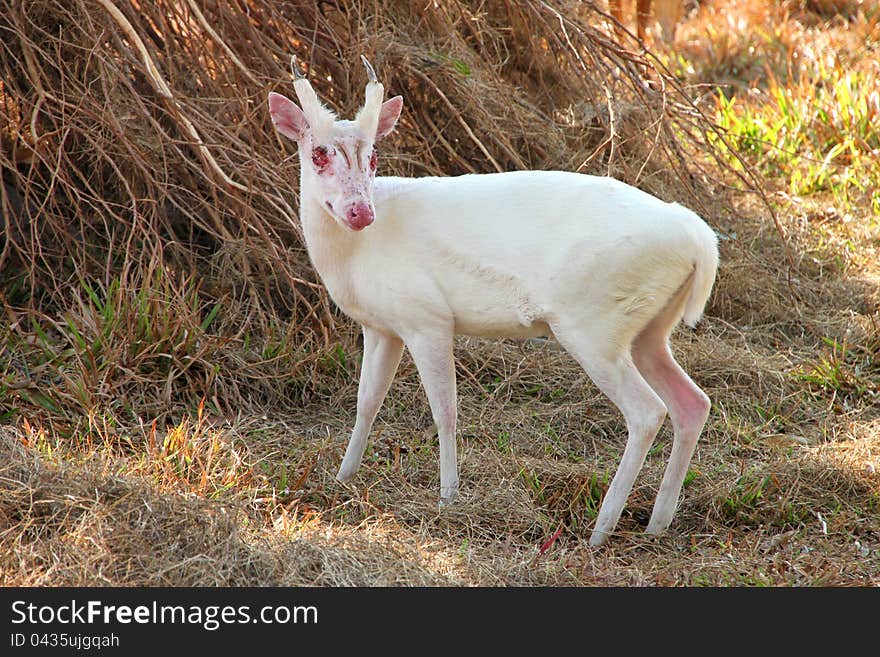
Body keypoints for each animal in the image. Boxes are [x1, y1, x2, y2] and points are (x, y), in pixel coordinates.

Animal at [272, 56, 720, 544]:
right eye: (318, 153)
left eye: (373, 155)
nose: (360, 212)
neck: (355, 254)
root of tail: (700, 240)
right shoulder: (381, 324)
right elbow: (367, 402)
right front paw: (343, 476)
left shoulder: (427, 317)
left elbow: (445, 411)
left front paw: (448, 498)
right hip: (650, 328)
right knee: (693, 403)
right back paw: (657, 523)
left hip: (594, 325)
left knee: (647, 411)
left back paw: (601, 529)